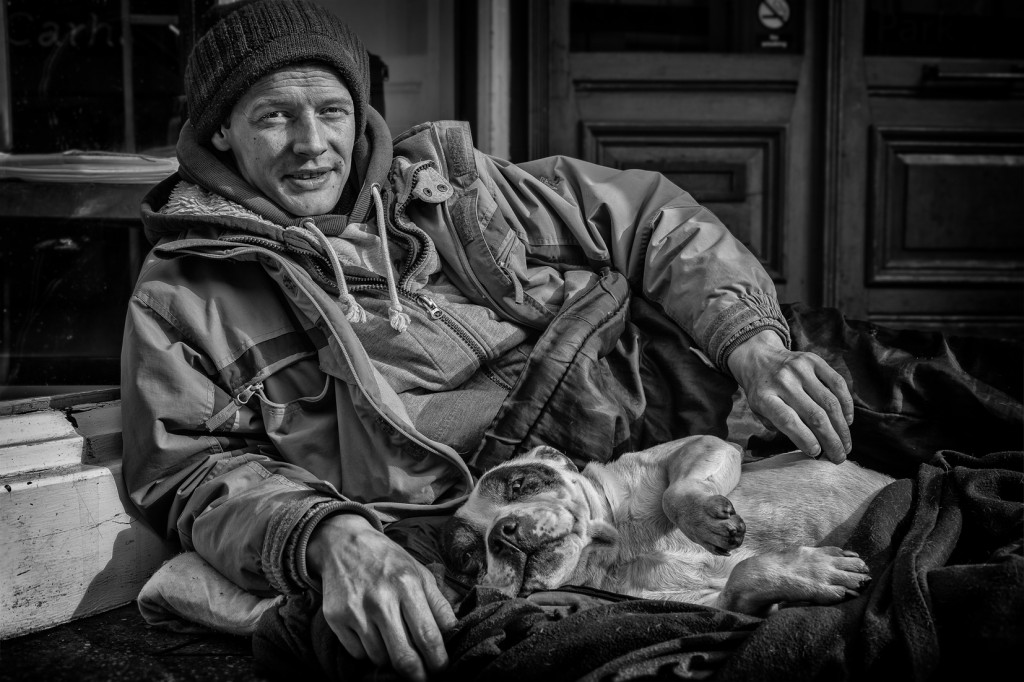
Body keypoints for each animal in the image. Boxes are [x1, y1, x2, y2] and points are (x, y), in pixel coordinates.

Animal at [444, 436, 892, 614]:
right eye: (469, 558)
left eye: (520, 485)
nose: (503, 533)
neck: (617, 544)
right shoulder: (711, 603)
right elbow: (742, 578)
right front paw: (813, 572)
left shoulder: (701, 446)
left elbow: (673, 493)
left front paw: (708, 521)